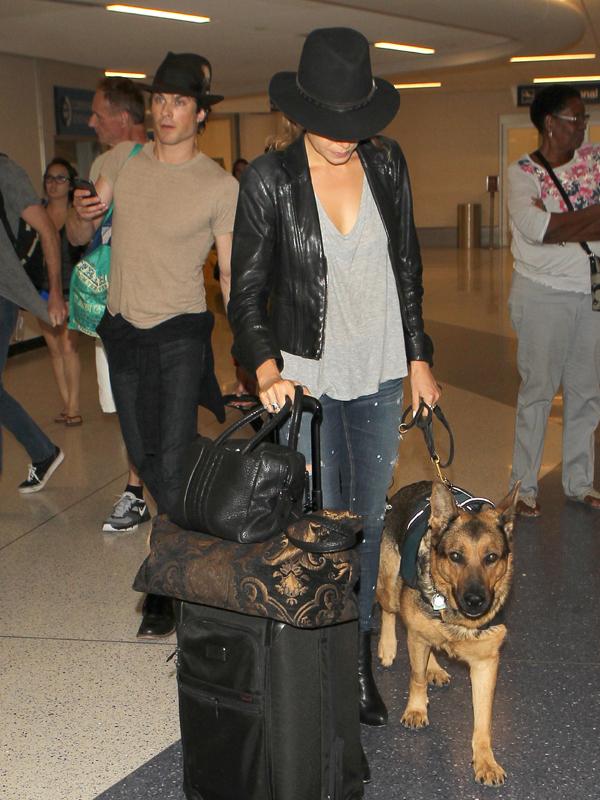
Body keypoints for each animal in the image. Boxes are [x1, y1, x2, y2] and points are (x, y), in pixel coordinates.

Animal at [378, 478, 516, 784]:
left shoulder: (485, 664)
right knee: (389, 612)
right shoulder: (416, 637)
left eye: (491, 558)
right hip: (389, 589)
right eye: (455, 556)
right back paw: (387, 646)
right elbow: (416, 677)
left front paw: (485, 760)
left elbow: (483, 720)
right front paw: (416, 709)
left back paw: (435, 667)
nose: (475, 600)